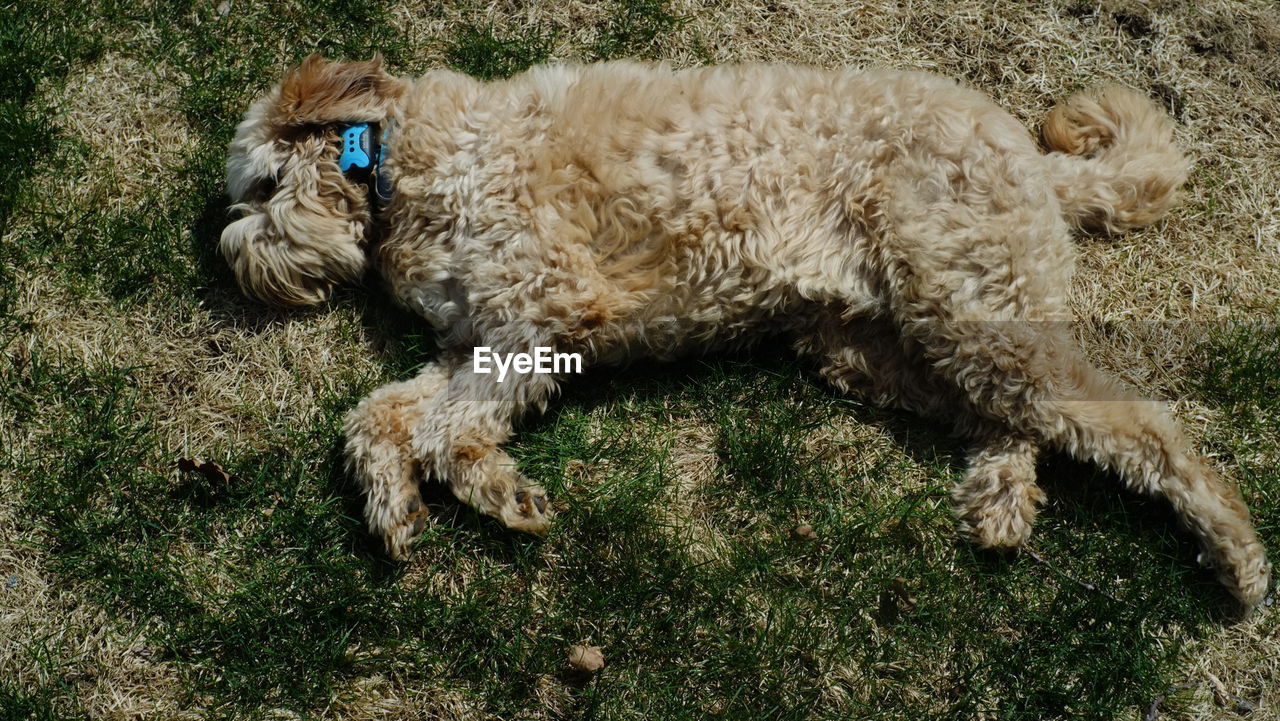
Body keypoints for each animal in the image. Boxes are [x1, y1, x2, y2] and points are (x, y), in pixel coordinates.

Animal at [217, 56, 1269, 607]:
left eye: (260, 188)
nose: (236, 269)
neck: (407, 167)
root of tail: (1029, 153)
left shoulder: (543, 306)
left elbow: (439, 427)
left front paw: (495, 486)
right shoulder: (470, 340)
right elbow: (379, 417)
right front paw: (396, 506)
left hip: (972, 314)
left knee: (1143, 423)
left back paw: (1237, 552)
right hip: (885, 342)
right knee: (1010, 418)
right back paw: (1003, 498)